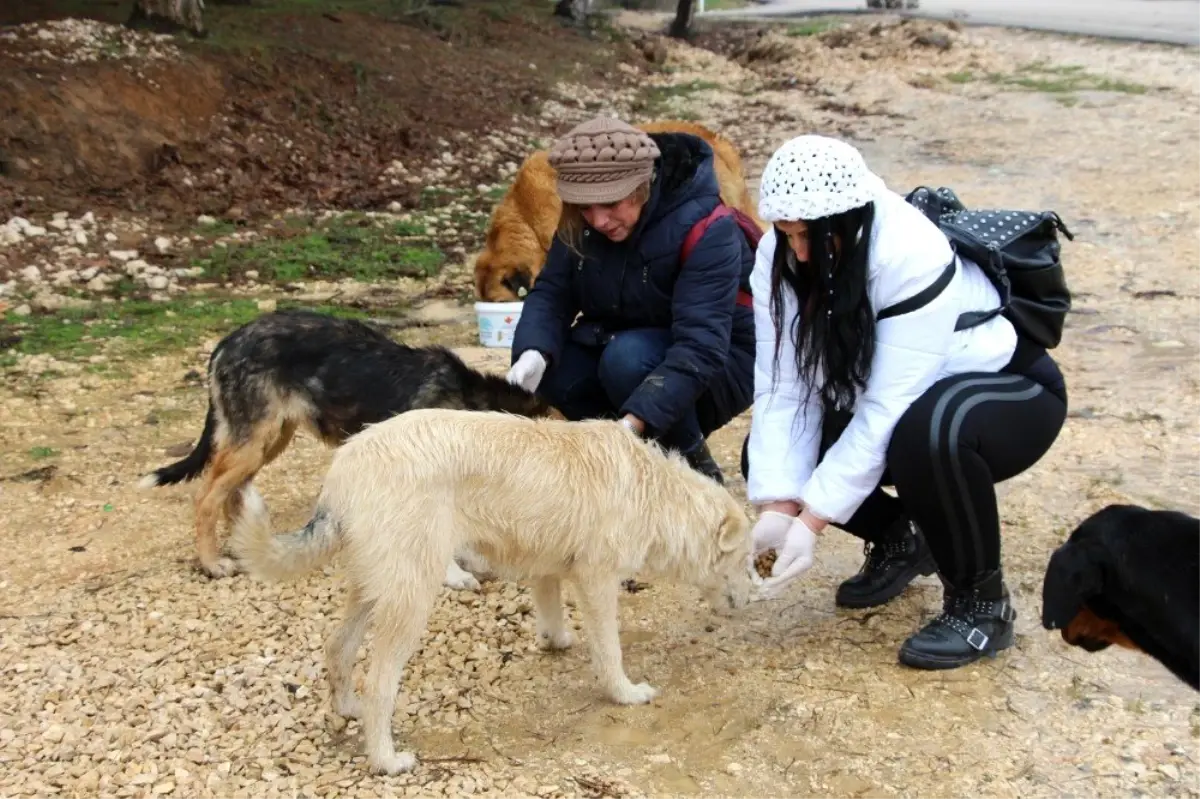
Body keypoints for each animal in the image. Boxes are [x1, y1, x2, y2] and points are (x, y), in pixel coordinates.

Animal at [136, 307, 561, 575]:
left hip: (270, 440)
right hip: (253, 442)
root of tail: (227, 342)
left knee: (233, 492)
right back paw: (212, 563)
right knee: (206, 498)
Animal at [230, 407, 753, 767]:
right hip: (412, 598)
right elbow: (610, 652)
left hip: (372, 588)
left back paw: (347, 708)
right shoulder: (598, 582)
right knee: (379, 683)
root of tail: (346, 466)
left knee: (337, 647)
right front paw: (624, 693)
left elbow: (551, 613)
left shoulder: (548, 568)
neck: (654, 492)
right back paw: (386, 760)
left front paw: (556, 641)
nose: (751, 601)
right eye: (747, 560)